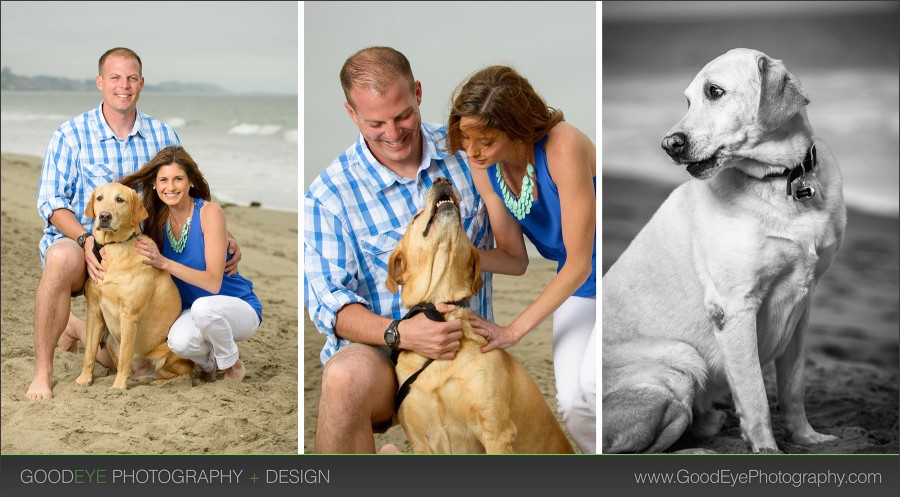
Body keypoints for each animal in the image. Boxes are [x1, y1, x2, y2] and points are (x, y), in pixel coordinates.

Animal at [74, 180, 192, 390]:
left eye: (120, 200)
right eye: (99, 198)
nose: (104, 216)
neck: (113, 247)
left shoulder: (129, 316)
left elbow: (124, 358)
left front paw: (118, 387)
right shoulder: (94, 310)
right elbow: (89, 353)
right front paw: (84, 379)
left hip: (167, 352)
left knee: (186, 374)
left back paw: (159, 382)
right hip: (111, 340)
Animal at [600, 49, 848, 454]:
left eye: (714, 92)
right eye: (688, 101)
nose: (668, 144)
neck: (782, 181)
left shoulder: (803, 304)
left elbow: (793, 387)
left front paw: (807, 438)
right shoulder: (733, 308)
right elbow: (755, 394)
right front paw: (766, 448)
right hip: (681, 367)